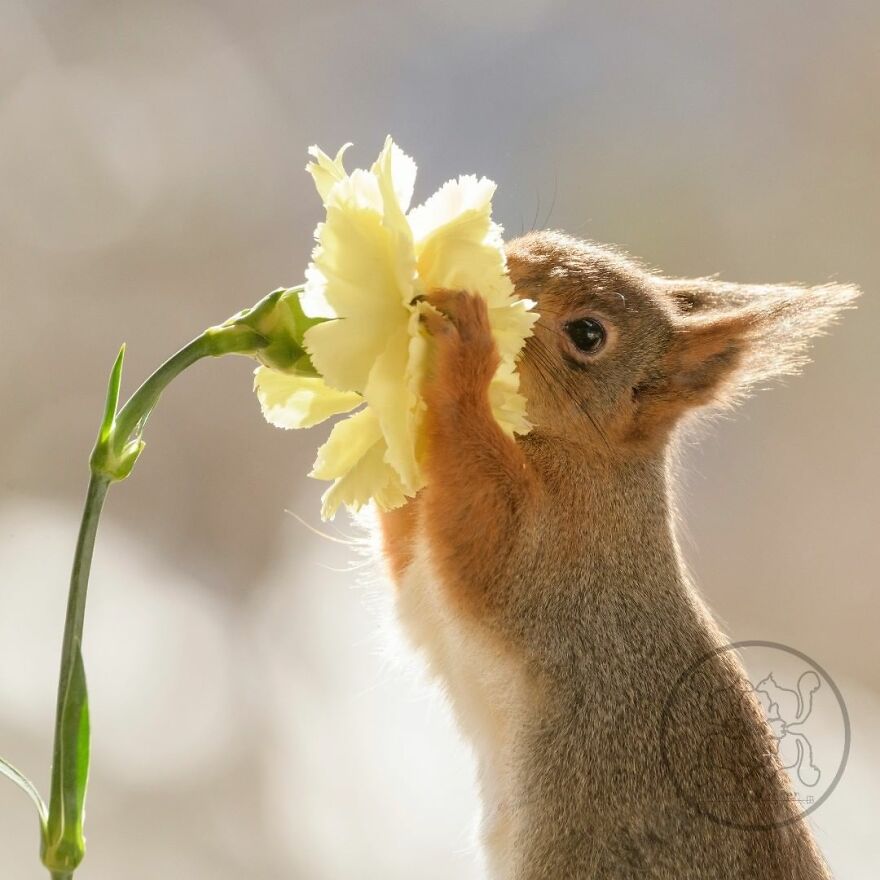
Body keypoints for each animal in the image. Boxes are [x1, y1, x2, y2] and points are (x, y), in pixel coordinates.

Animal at [377, 231, 858, 879]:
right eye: (539, 239)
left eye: (588, 334)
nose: (506, 260)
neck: (590, 454)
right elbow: (405, 533)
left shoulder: (557, 558)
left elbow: (481, 531)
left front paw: (466, 350)